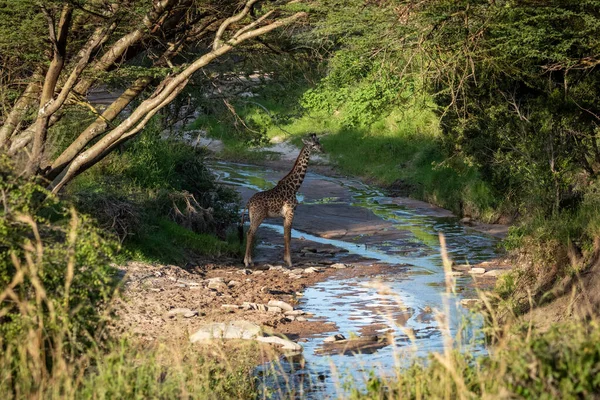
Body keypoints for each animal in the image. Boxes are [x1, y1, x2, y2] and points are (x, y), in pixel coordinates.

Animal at [239, 133, 324, 268]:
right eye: (313, 144)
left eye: (318, 142)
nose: (322, 150)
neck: (294, 187)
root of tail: (248, 203)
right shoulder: (291, 212)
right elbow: (288, 236)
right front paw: (290, 262)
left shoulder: (285, 215)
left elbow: (285, 235)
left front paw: (285, 260)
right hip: (259, 216)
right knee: (250, 233)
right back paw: (247, 262)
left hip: (253, 216)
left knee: (251, 233)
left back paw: (250, 261)